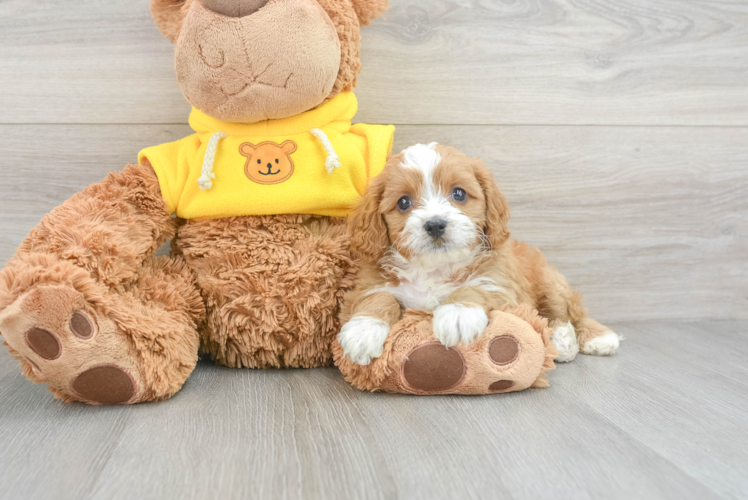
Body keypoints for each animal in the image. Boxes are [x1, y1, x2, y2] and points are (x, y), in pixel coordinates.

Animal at [338, 143, 620, 366]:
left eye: (459, 193)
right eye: (403, 202)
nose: (435, 224)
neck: (435, 268)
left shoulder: (504, 289)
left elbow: (476, 287)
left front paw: (458, 312)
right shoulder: (369, 283)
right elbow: (378, 297)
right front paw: (364, 330)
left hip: (550, 281)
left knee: (569, 313)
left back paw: (582, 339)